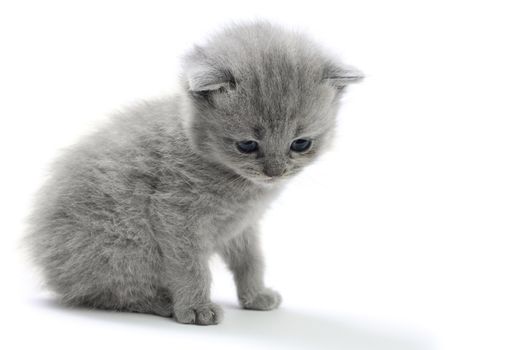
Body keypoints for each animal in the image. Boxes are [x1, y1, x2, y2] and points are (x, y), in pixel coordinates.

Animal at [25, 21, 362, 326]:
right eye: (246, 145)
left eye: (300, 143)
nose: (274, 172)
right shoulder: (175, 216)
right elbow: (190, 267)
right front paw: (197, 309)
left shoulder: (241, 226)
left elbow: (251, 260)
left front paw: (256, 296)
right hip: (125, 245)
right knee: (112, 293)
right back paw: (163, 303)